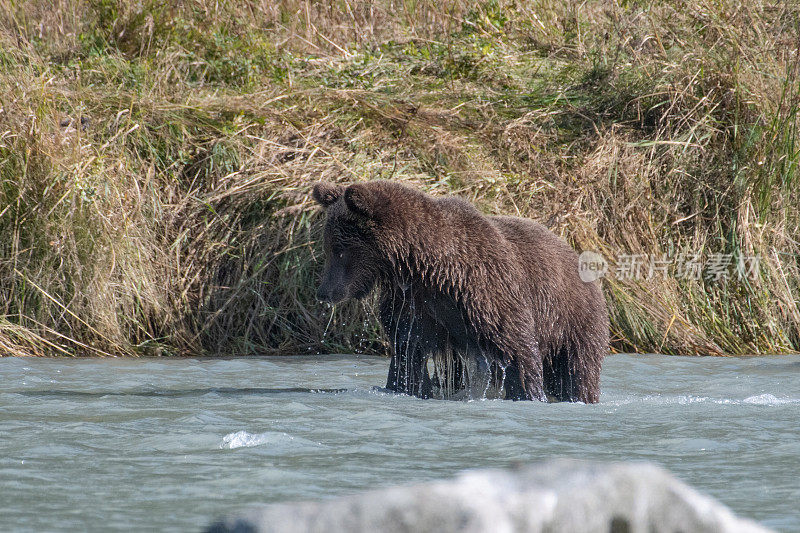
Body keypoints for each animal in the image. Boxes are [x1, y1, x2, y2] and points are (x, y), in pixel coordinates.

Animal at [310, 181, 608, 402]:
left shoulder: (486, 292)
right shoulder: (414, 306)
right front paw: (405, 387)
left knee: (578, 370)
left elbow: (517, 348)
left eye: (339, 250)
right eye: (328, 247)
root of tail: (573, 251)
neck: (426, 267)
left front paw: (529, 394)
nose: (324, 292)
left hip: (571, 320)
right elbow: (407, 355)